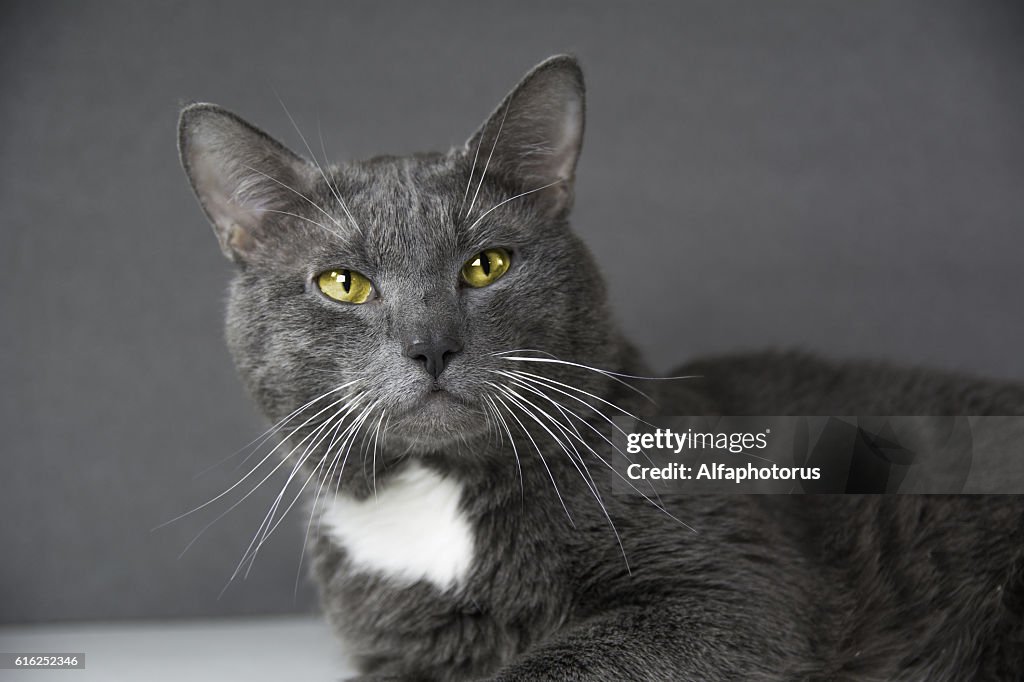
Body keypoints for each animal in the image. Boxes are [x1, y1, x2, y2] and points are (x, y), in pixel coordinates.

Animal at [180, 55, 1019, 675]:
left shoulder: (727, 593)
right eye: (343, 283)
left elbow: (560, 662)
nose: (431, 343)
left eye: (487, 265)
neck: (438, 503)